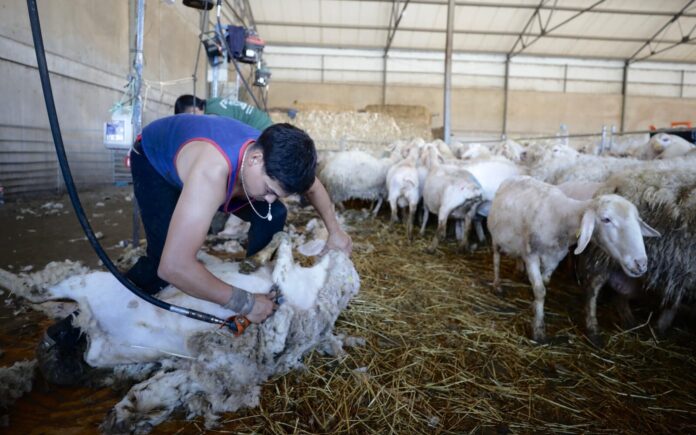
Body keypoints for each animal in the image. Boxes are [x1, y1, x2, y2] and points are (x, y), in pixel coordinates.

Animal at [490, 175, 656, 342]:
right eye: (606, 219)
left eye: (637, 220)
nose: (641, 264)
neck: (561, 219)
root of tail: (514, 177)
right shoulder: (532, 257)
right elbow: (540, 290)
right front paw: (538, 330)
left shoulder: (554, 259)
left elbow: (545, 283)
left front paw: (534, 306)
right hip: (495, 237)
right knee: (496, 258)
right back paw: (497, 285)